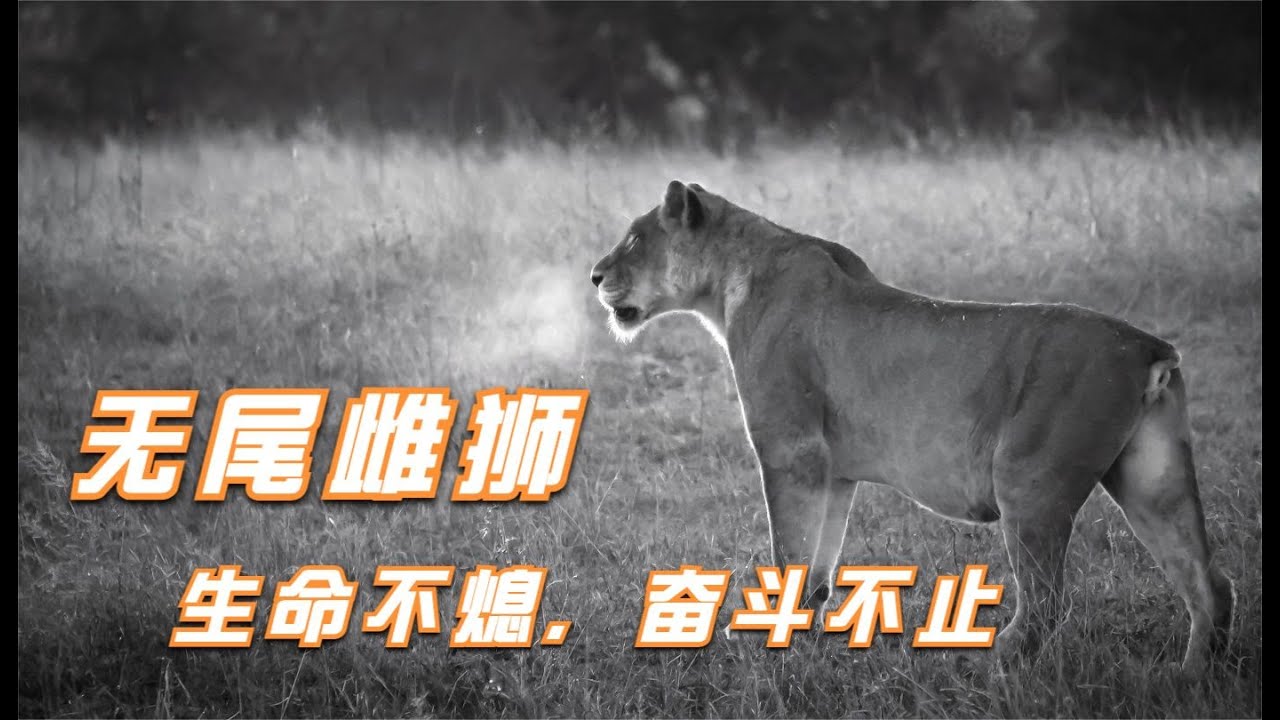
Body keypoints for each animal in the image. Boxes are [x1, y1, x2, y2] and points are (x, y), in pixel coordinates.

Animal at [590, 180, 1233, 671]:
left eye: (635, 239)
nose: (594, 276)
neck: (729, 283)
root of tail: (1149, 347)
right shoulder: (833, 470)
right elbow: (819, 560)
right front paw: (805, 632)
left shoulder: (791, 449)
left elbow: (788, 550)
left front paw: (767, 637)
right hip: (1153, 480)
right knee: (1210, 583)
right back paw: (1191, 675)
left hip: (1029, 480)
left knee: (1048, 604)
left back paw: (987, 659)